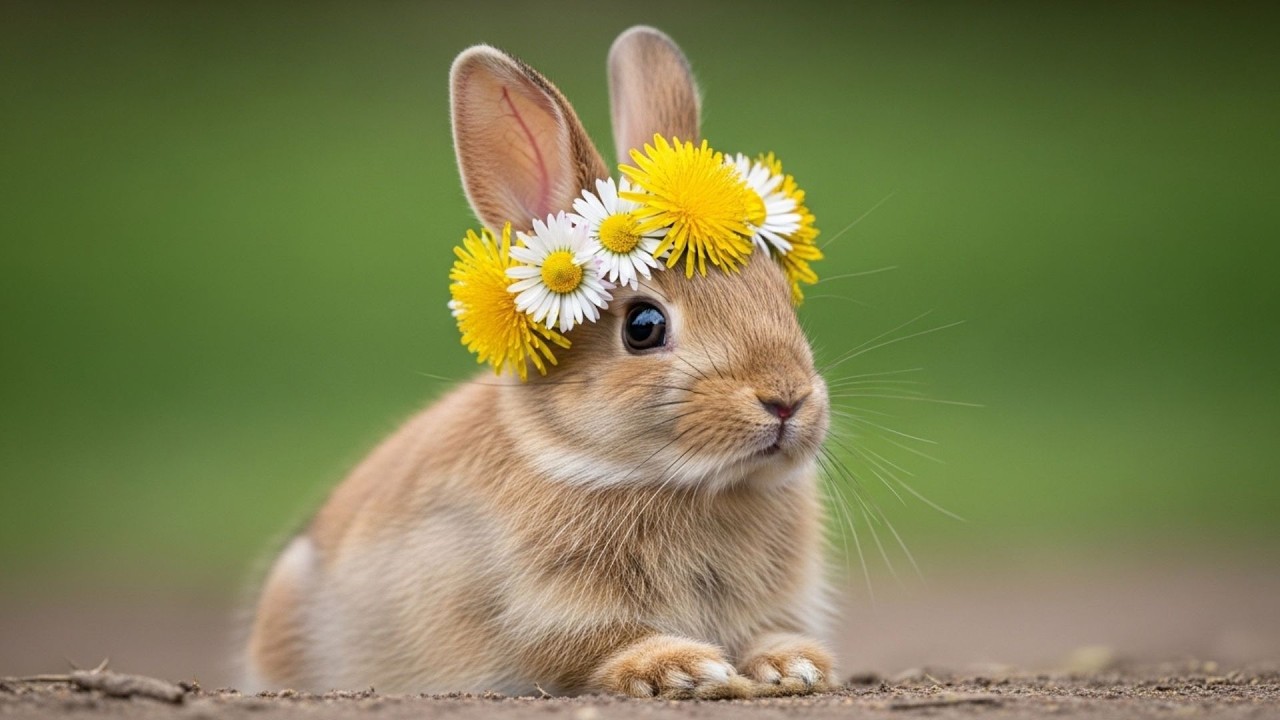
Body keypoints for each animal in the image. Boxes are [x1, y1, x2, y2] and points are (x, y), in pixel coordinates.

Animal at [242, 25, 834, 699]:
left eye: (779, 293)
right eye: (643, 327)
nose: (787, 399)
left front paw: (793, 665)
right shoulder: (543, 616)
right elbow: (595, 650)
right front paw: (682, 668)